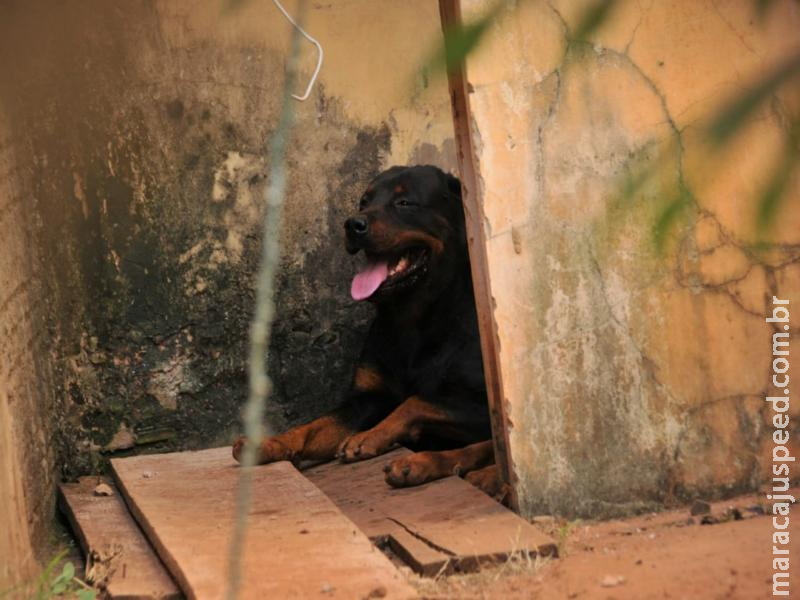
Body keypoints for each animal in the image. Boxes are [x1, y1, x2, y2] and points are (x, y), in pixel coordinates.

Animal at [234, 164, 504, 496]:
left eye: (404, 203)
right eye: (364, 202)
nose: (353, 224)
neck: (412, 320)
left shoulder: (483, 406)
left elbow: (415, 402)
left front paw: (369, 437)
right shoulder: (366, 400)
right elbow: (313, 426)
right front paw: (269, 443)